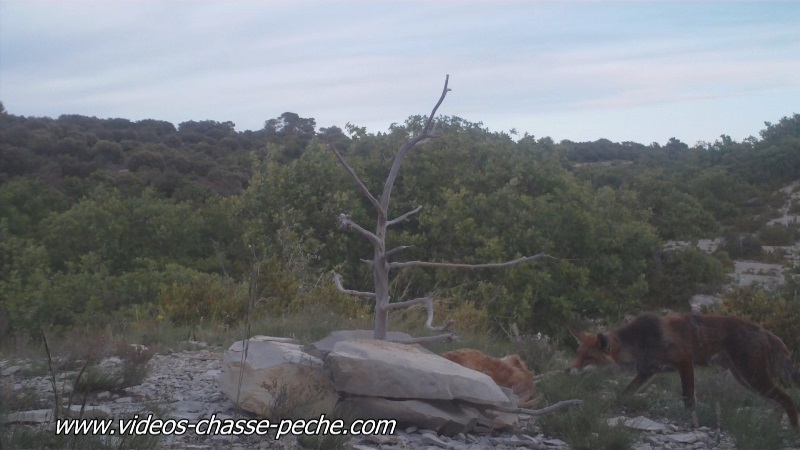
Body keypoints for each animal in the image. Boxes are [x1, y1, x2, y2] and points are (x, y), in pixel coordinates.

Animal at [568, 312, 800, 428]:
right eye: (578, 354)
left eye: (589, 358)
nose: (567, 371)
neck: (640, 342)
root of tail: (765, 331)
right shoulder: (648, 371)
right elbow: (625, 393)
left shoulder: (684, 362)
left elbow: (688, 399)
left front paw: (693, 421)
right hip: (744, 378)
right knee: (778, 402)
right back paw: (772, 427)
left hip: (752, 377)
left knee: (788, 399)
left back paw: (792, 431)